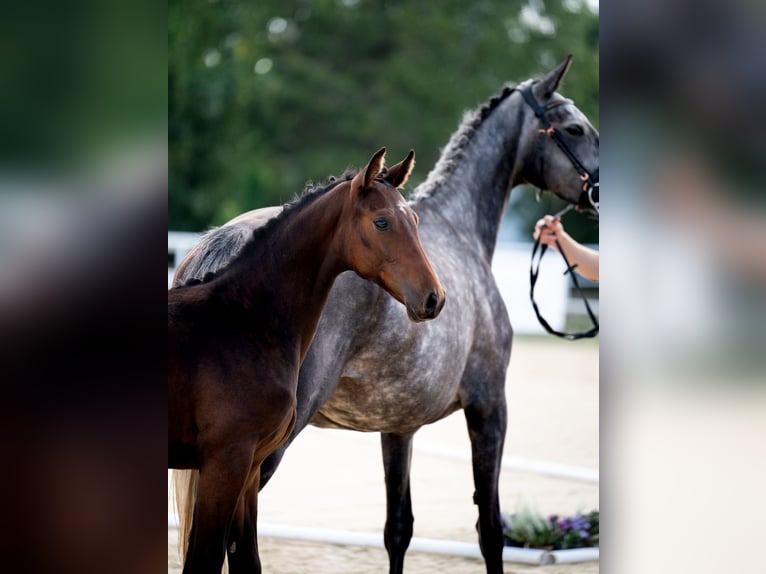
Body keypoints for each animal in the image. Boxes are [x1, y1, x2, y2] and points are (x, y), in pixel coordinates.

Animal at [174, 55, 600, 574]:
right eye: (575, 128)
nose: (598, 191)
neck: (459, 228)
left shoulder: (398, 425)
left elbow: (398, 529)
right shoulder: (489, 406)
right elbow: (490, 530)